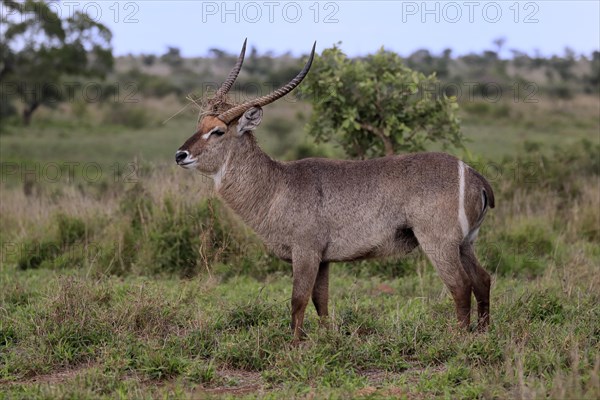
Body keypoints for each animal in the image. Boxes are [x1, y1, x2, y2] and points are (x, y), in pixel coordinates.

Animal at [177, 39, 496, 340]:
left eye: (218, 131)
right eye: (200, 124)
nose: (180, 155)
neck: (276, 185)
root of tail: (474, 174)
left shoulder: (306, 251)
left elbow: (298, 300)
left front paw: (295, 346)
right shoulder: (324, 259)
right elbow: (321, 301)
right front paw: (327, 339)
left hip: (438, 243)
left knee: (460, 285)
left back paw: (458, 337)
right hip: (465, 243)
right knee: (483, 280)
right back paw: (483, 333)